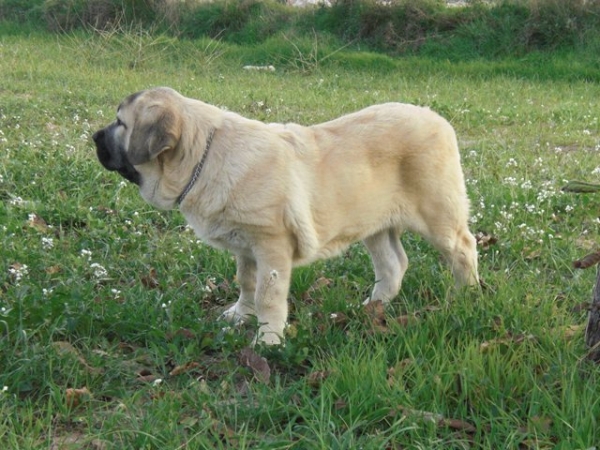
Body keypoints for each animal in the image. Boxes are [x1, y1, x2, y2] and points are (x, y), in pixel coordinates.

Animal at [92, 87, 478, 344]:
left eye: (120, 123)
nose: (94, 136)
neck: (204, 155)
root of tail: (436, 117)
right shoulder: (245, 247)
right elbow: (247, 283)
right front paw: (240, 316)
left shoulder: (271, 245)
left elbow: (268, 295)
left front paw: (267, 342)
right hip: (374, 224)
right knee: (393, 265)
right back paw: (371, 307)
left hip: (438, 215)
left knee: (463, 248)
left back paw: (466, 296)